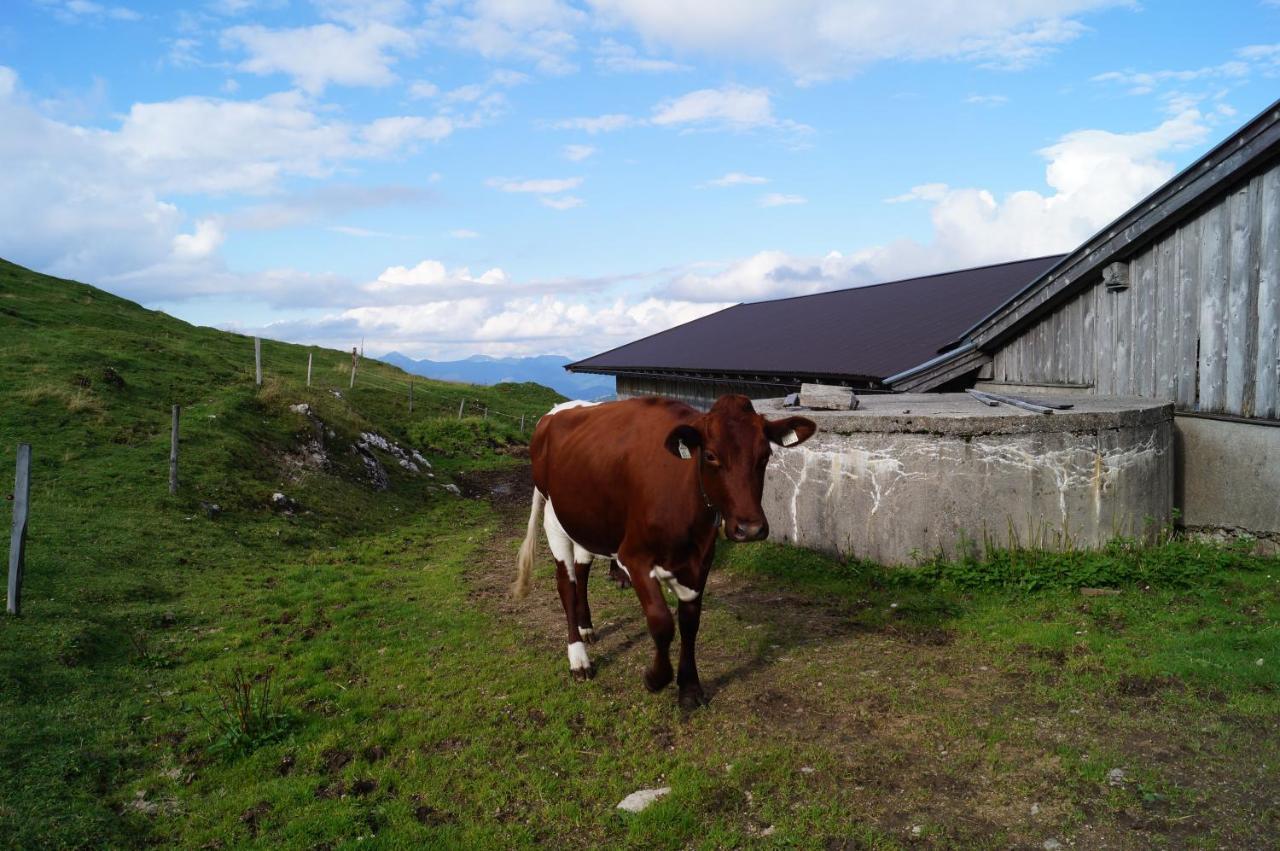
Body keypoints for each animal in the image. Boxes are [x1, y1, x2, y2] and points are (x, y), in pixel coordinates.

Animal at [506, 394, 808, 706]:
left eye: (765, 455)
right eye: (711, 456)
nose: (750, 528)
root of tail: (555, 411)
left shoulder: (700, 561)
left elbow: (689, 623)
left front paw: (690, 687)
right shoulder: (634, 557)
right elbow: (661, 622)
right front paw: (656, 677)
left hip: (586, 521)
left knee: (582, 567)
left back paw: (585, 626)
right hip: (554, 518)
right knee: (566, 583)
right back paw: (579, 659)